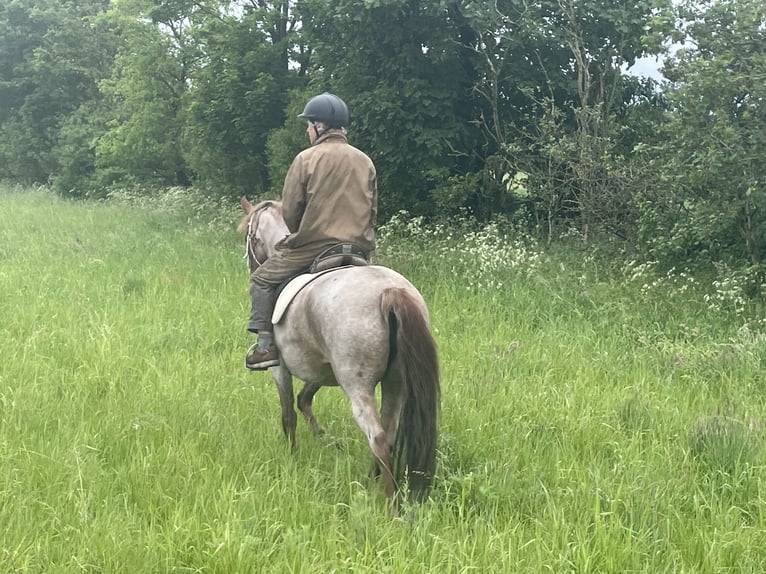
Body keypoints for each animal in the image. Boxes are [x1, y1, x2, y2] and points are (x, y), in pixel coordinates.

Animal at [240, 198, 444, 504]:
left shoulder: (280, 368)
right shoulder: (321, 369)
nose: (252, 267)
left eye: (249, 236)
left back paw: (389, 503)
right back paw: (371, 479)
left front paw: (291, 456)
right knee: (389, 433)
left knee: (378, 437)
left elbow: (288, 414)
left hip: (356, 386)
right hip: (395, 382)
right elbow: (304, 400)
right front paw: (324, 438)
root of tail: (390, 291)